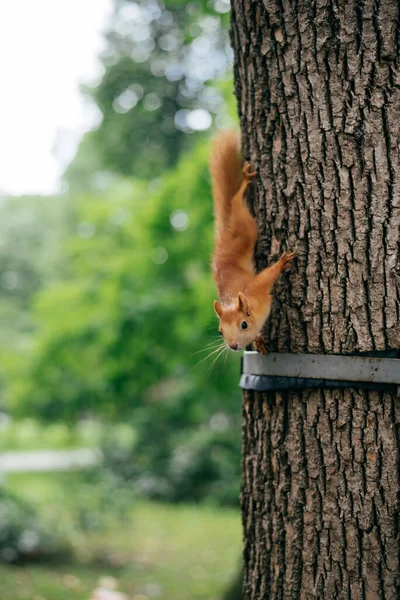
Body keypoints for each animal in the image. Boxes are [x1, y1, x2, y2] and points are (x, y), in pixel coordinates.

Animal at [209, 129, 294, 354]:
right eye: (220, 332)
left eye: (244, 324)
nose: (234, 346)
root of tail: (224, 237)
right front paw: (259, 341)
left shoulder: (257, 290)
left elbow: (266, 276)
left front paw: (281, 263)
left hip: (245, 229)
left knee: (237, 204)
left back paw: (244, 184)